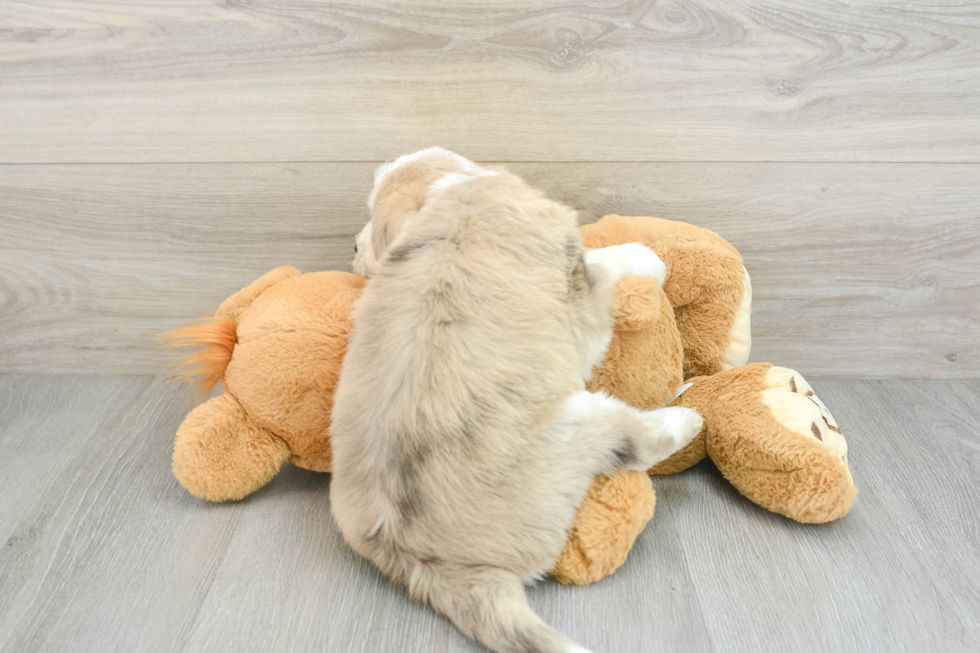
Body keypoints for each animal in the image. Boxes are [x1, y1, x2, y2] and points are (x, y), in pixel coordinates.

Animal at [334, 148, 700, 652]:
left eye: (373, 219)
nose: (352, 249)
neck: (450, 193)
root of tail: (422, 558)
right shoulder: (581, 287)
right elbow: (612, 262)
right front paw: (649, 257)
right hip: (577, 424)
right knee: (630, 442)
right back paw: (685, 418)